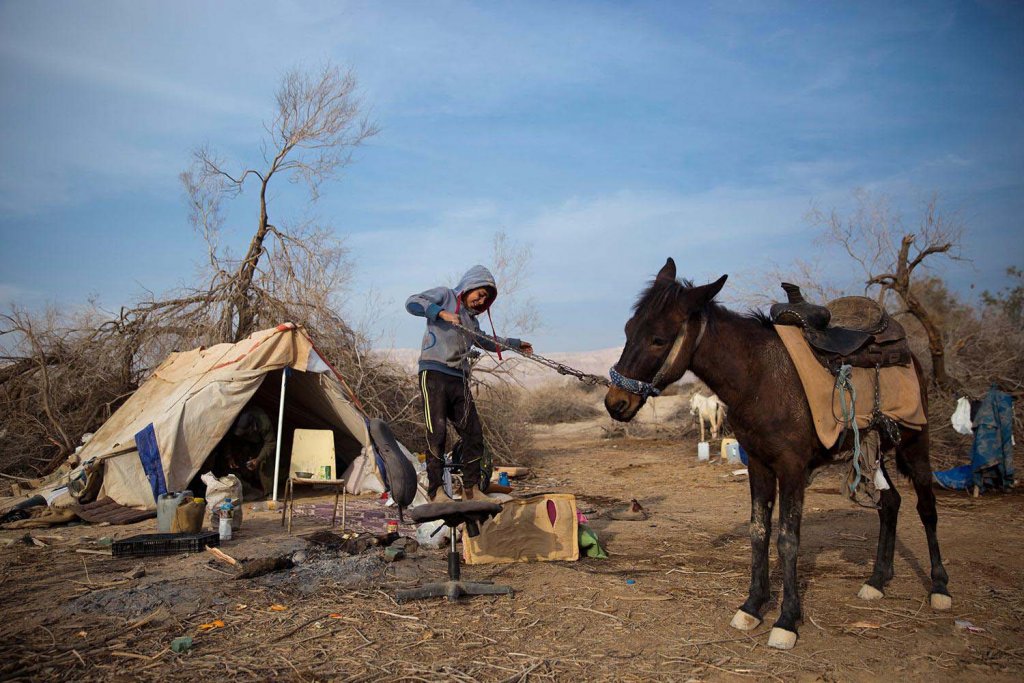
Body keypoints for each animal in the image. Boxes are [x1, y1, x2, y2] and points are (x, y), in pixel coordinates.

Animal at [602, 258, 946, 651]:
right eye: (629, 329)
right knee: (889, 504)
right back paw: (877, 580)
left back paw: (939, 586)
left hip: (915, 444)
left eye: (659, 338)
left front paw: (786, 620)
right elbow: (759, 531)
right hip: (875, 451)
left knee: (926, 507)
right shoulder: (759, 465)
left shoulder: (792, 469)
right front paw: (752, 605)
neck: (761, 378)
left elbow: (787, 539)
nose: (615, 403)